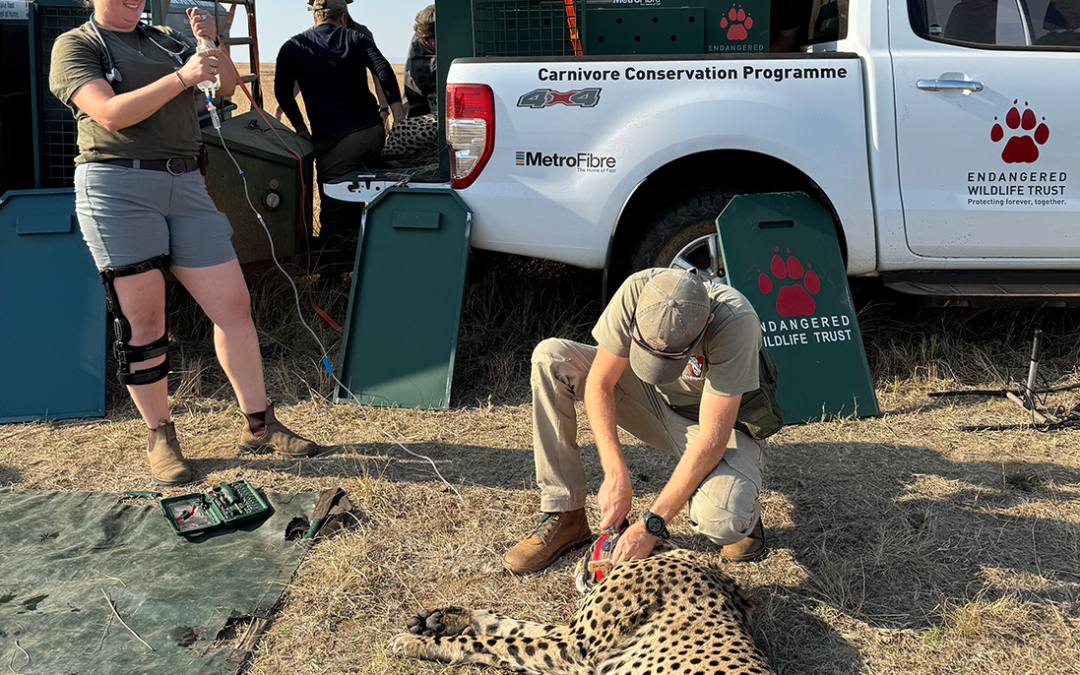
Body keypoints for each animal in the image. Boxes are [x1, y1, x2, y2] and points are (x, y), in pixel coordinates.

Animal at [390, 548, 777, 673]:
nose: (577, 564)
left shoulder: (574, 650)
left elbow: (490, 643)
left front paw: (417, 643)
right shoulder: (569, 636)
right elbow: (508, 624)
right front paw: (440, 619)